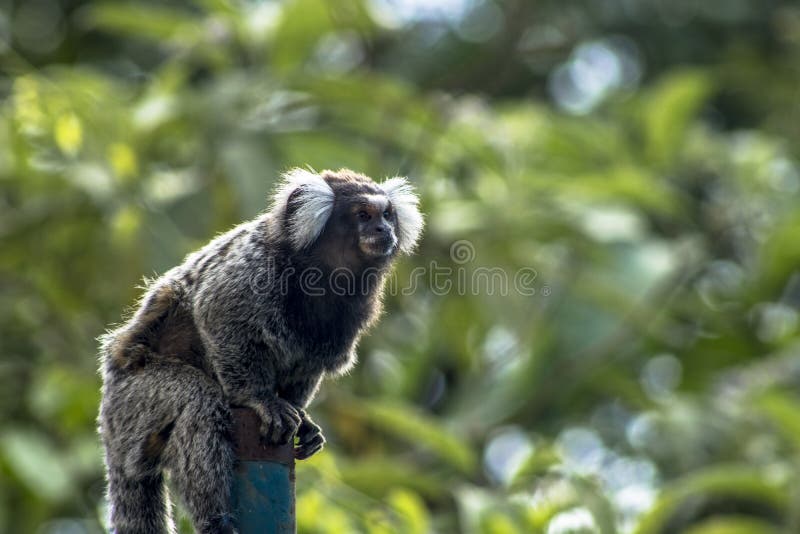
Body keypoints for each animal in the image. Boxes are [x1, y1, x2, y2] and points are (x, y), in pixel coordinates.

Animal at [98, 170, 424, 534]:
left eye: (387, 215)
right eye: (363, 215)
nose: (384, 230)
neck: (322, 272)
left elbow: (307, 366)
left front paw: (302, 419)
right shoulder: (251, 270)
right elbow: (217, 313)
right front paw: (261, 399)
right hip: (134, 400)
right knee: (197, 402)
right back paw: (214, 519)